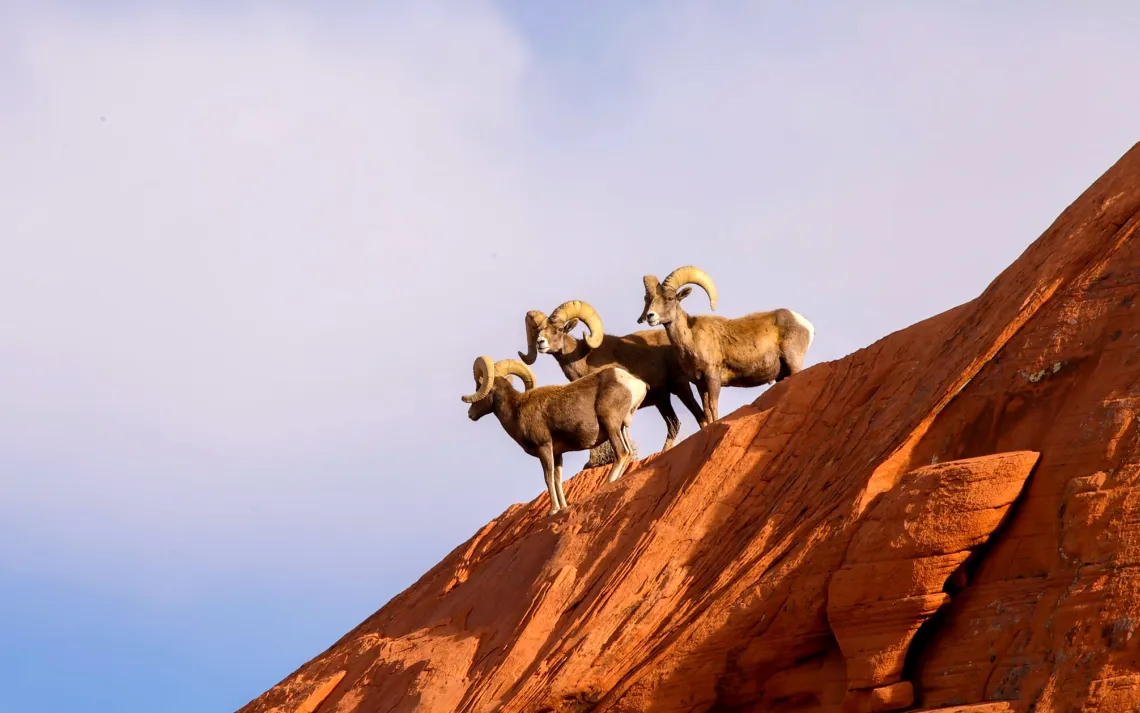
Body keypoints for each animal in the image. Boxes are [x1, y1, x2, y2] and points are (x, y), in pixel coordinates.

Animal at [461, 356, 649, 516]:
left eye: (479, 388)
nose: (470, 414)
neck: (516, 410)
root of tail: (635, 383)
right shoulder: (557, 453)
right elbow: (558, 479)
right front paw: (563, 507)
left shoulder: (544, 447)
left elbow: (548, 477)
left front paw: (552, 510)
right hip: (621, 428)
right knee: (628, 453)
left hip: (611, 425)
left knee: (621, 453)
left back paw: (607, 484)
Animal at [517, 300, 707, 461]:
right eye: (539, 331)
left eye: (558, 329)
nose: (540, 343)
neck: (583, 358)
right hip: (662, 400)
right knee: (674, 424)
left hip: (680, 386)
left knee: (699, 415)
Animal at [637, 265, 815, 424]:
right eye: (649, 300)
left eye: (670, 298)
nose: (651, 316)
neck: (691, 338)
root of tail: (805, 324)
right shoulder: (701, 384)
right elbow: (706, 412)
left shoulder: (712, 376)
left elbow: (713, 406)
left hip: (793, 362)